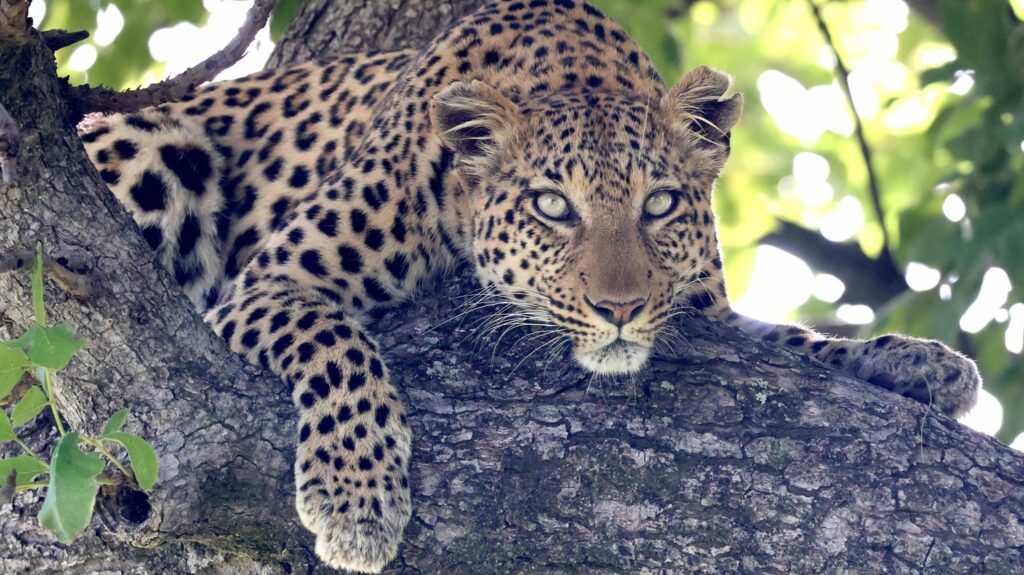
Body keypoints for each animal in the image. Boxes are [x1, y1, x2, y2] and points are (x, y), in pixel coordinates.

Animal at [78, 0, 981, 571]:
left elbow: (794, 340)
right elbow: (339, 347)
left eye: (659, 204)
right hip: (155, 144)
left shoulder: (706, 311)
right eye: (553, 207)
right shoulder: (271, 282)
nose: (619, 308)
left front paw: (919, 361)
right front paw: (356, 499)